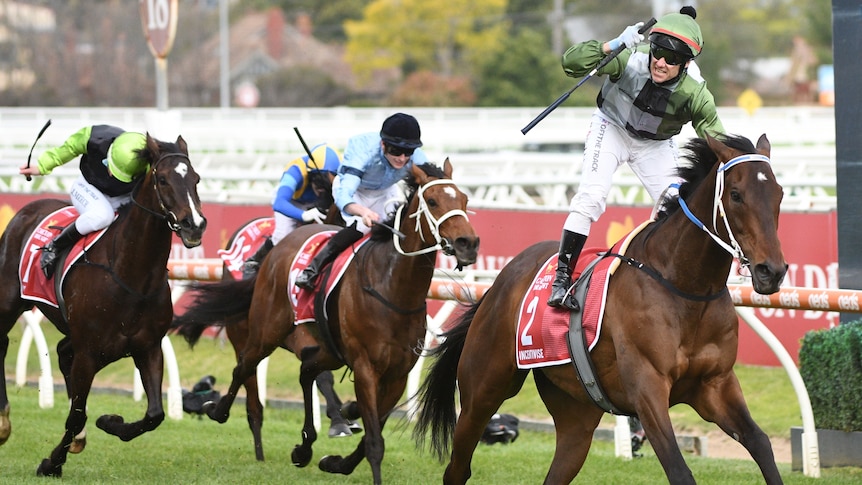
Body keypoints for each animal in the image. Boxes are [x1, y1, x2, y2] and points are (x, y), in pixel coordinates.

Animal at [0, 133, 208, 476]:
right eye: (163, 180)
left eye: (196, 179)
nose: (195, 224)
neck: (131, 275)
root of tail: (27, 209)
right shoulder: (89, 352)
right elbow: (76, 414)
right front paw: (52, 461)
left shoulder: (147, 347)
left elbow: (154, 414)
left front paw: (110, 422)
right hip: (9, 300)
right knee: (3, 342)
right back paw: (4, 423)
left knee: (61, 352)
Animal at [175, 161, 482, 482]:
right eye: (432, 201)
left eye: (464, 200)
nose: (468, 243)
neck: (393, 289)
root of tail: (278, 249)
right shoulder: (364, 366)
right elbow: (374, 441)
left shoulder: (397, 374)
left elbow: (371, 431)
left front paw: (337, 457)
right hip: (265, 331)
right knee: (245, 367)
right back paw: (218, 410)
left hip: (329, 350)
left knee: (305, 371)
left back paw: (304, 446)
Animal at [416, 133, 792, 484]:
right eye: (736, 195)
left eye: (779, 194)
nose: (771, 271)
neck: (686, 286)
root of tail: (498, 284)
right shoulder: (647, 387)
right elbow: (679, 469)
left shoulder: (715, 385)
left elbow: (760, 443)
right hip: (483, 390)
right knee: (458, 467)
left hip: (576, 412)